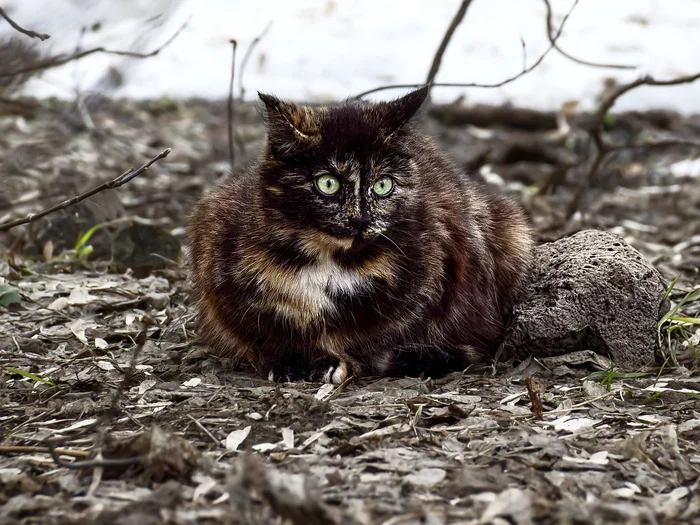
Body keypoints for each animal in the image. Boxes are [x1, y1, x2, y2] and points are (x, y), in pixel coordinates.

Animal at [186, 84, 532, 382]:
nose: (361, 219)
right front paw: (289, 362)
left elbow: (368, 335)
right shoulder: (215, 247)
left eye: (383, 184)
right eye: (328, 183)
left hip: (510, 232)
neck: (326, 259)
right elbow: (263, 333)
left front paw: (340, 362)